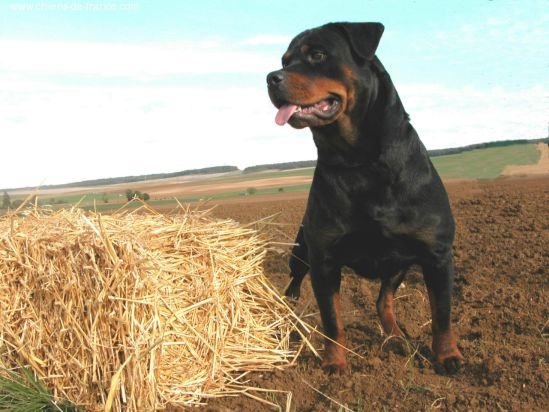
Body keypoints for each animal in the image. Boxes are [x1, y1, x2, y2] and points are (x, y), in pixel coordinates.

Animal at [266, 23, 462, 376]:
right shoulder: (324, 257)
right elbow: (332, 319)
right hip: (301, 250)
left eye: (318, 55)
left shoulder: (436, 254)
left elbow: (441, 313)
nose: (271, 77)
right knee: (294, 280)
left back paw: (396, 336)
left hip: (399, 263)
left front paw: (447, 356)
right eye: (285, 61)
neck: (360, 162)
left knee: (383, 300)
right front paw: (334, 362)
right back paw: (290, 308)